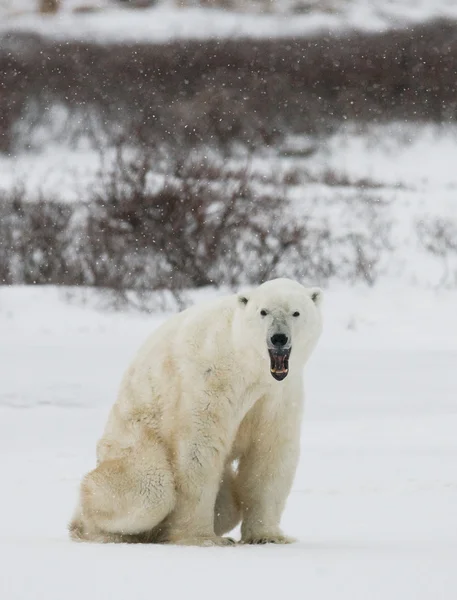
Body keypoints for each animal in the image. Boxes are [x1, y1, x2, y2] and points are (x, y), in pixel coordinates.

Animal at [69, 278, 322, 548]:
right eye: (263, 312)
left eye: (296, 312)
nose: (278, 338)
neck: (249, 365)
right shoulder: (209, 378)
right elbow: (199, 448)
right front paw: (203, 539)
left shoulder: (279, 395)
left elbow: (269, 452)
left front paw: (268, 536)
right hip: (132, 442)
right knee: (150, 490)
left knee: (229, 504)